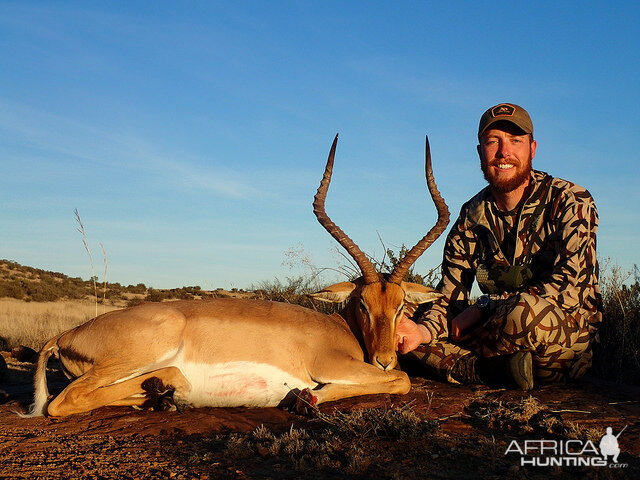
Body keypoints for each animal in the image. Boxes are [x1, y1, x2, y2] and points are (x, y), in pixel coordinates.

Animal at [21, 135, 450, 416]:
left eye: (400, 306)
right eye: (362, 303)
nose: (384, 359)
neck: (340, 330)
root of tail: (65, 335)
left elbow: (399, 379)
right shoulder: (329, 365)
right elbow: (402, 380)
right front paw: (308, 396)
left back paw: (162, 397)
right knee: (62, 402)